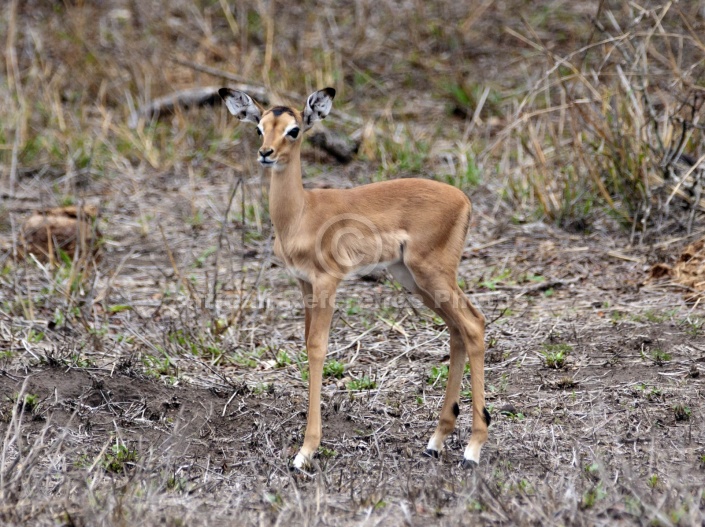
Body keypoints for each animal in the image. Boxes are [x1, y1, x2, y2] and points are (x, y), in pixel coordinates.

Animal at [220, 85, 490, 470]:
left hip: (432, 275)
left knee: (473, 324)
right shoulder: (304, 285)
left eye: (294, 130)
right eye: (259, 128)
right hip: (415, 280)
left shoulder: (327, 282)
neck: (301, 214)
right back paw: (435, 442)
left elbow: (317, 348)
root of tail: (464, 199)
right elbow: (306, 344)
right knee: (458, 330)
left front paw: (305, 451)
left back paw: (473, 449)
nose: (265, 154)